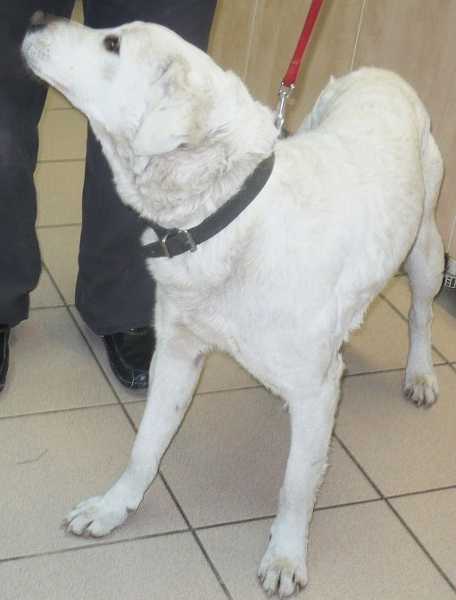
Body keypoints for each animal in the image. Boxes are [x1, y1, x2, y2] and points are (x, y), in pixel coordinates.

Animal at [22, 13, 444, 597]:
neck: (222, 215)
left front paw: (287, 555)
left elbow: (296, 485)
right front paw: (112, 508)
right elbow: (145, 447)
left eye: (112, 43)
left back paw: (421, 374)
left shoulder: (313, 391)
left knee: (421, 315)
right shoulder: (176, 354)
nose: (38, 17)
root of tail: (382, 73)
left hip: (425, 249)